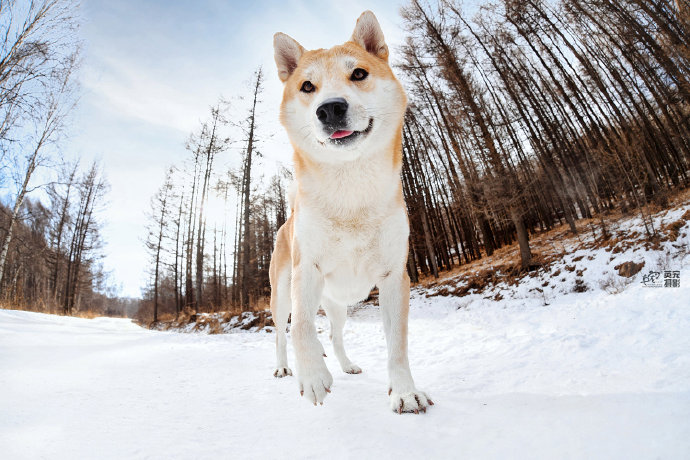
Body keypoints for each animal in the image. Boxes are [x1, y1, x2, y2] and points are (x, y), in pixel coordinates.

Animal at [268, 9, 430, 414]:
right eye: (307, 86)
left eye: (358, 73)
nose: (330, 108)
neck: (350, 191)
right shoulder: (306, 271)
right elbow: (302, 328)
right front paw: (311, 377)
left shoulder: (394, 277)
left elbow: (397, 345)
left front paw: (405, 393)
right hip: (282, 295)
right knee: (281, 333)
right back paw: (283, 368)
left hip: (338, 305)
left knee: (335, 335)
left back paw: (346, 365)